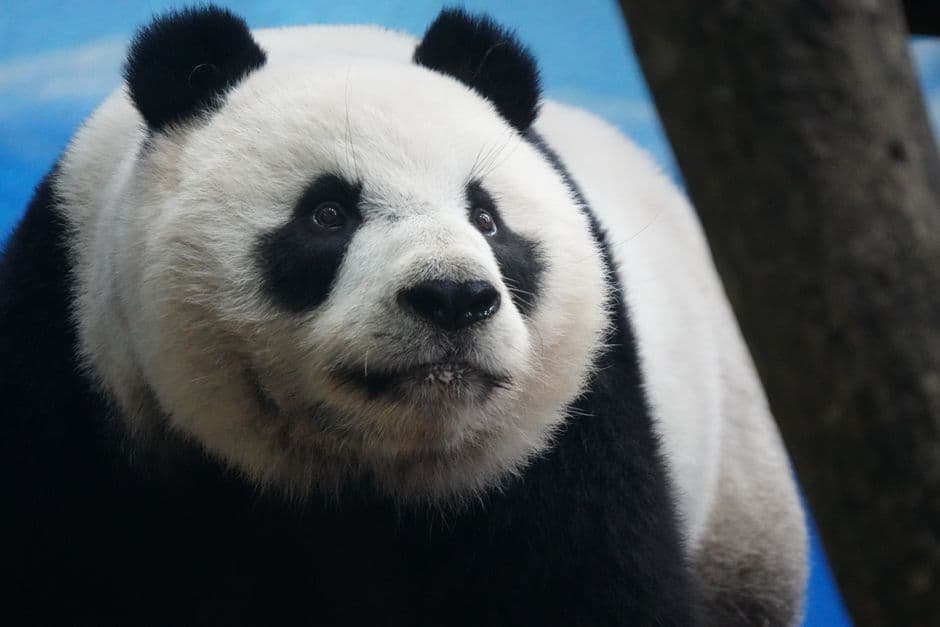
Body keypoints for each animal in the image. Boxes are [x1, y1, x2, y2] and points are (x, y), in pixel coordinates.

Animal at [0, 6, 807, 626]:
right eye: (327, 212)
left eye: (485, 218)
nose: (453, 298)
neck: (354, 468)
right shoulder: (77, 376)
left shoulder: (569, 425)